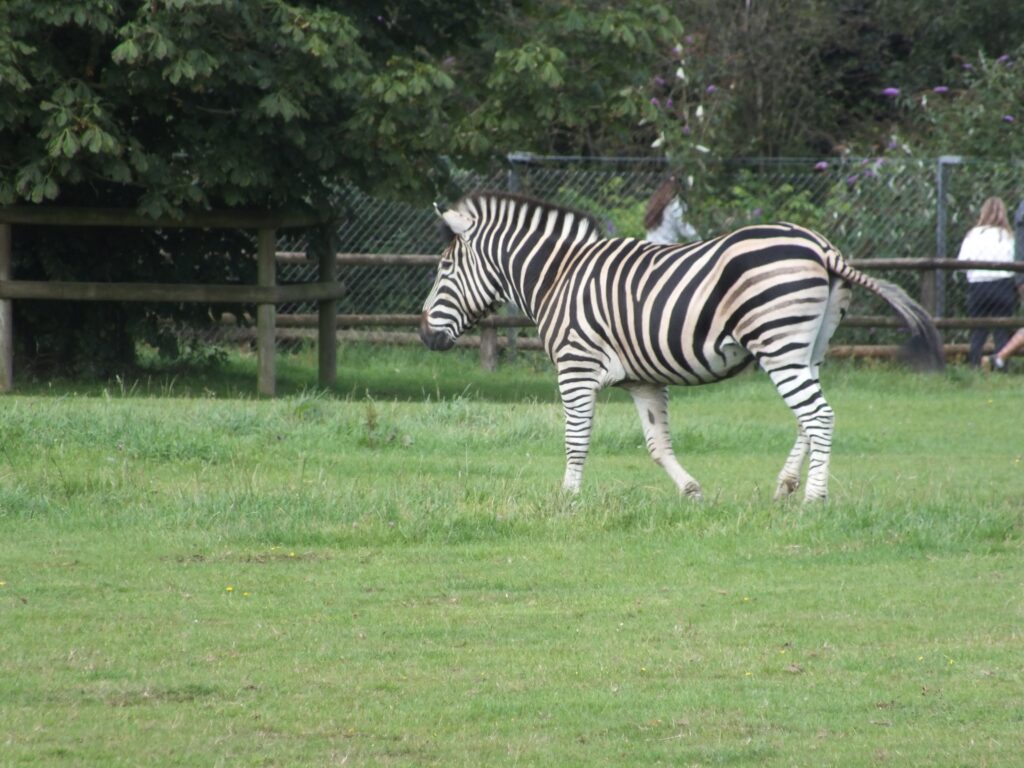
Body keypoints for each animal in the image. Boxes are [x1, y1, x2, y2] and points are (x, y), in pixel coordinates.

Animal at [419, 192, 944, 502]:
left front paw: (568, 500)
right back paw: (786, 486)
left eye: (444, 268)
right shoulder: (642, 380)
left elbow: (576, 437)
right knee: (808, 418)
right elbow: (656, 444)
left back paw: (813, 499)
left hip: (778, 344)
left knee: (819, 415)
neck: (559, 276)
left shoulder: (575, 367)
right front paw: (690, 490)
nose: (425, 334)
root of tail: (822, 247)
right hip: (807, 348)